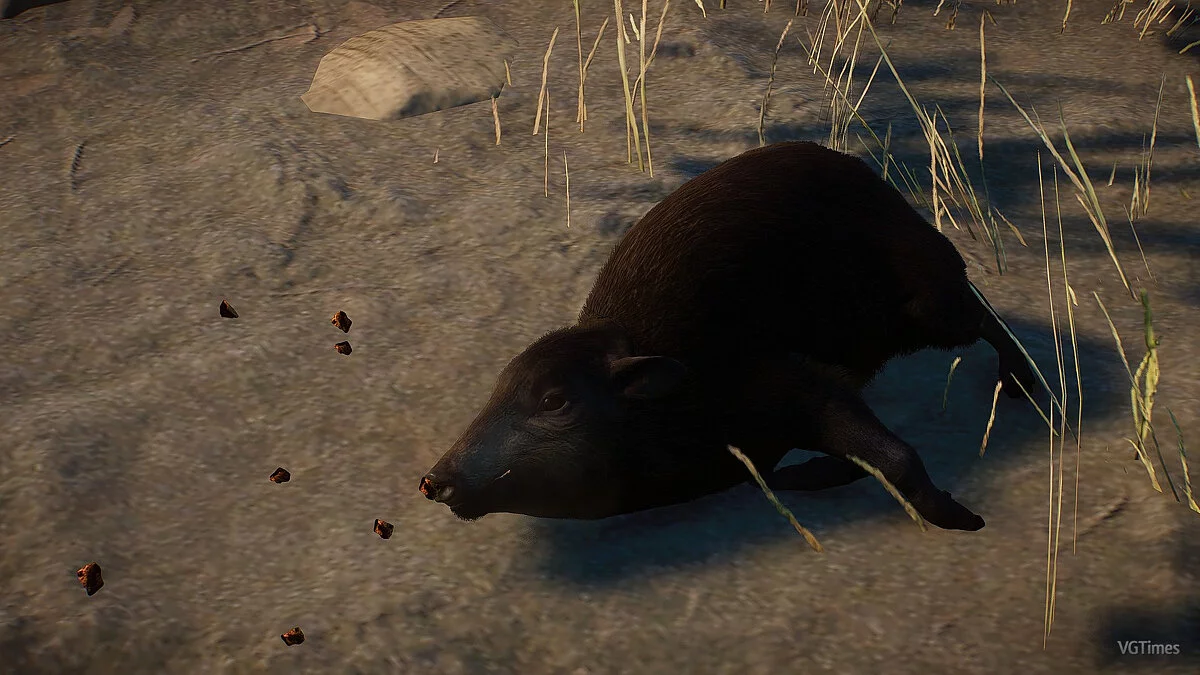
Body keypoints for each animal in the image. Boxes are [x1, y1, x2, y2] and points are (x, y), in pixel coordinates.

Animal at [419, 141, 1036, 531]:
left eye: (554, 400)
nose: (435, 481)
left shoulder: (801, 386)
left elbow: (898, 457)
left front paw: (964, 518)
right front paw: (800, 477)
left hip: (926, 303)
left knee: (984, 316)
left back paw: (1022, 383)